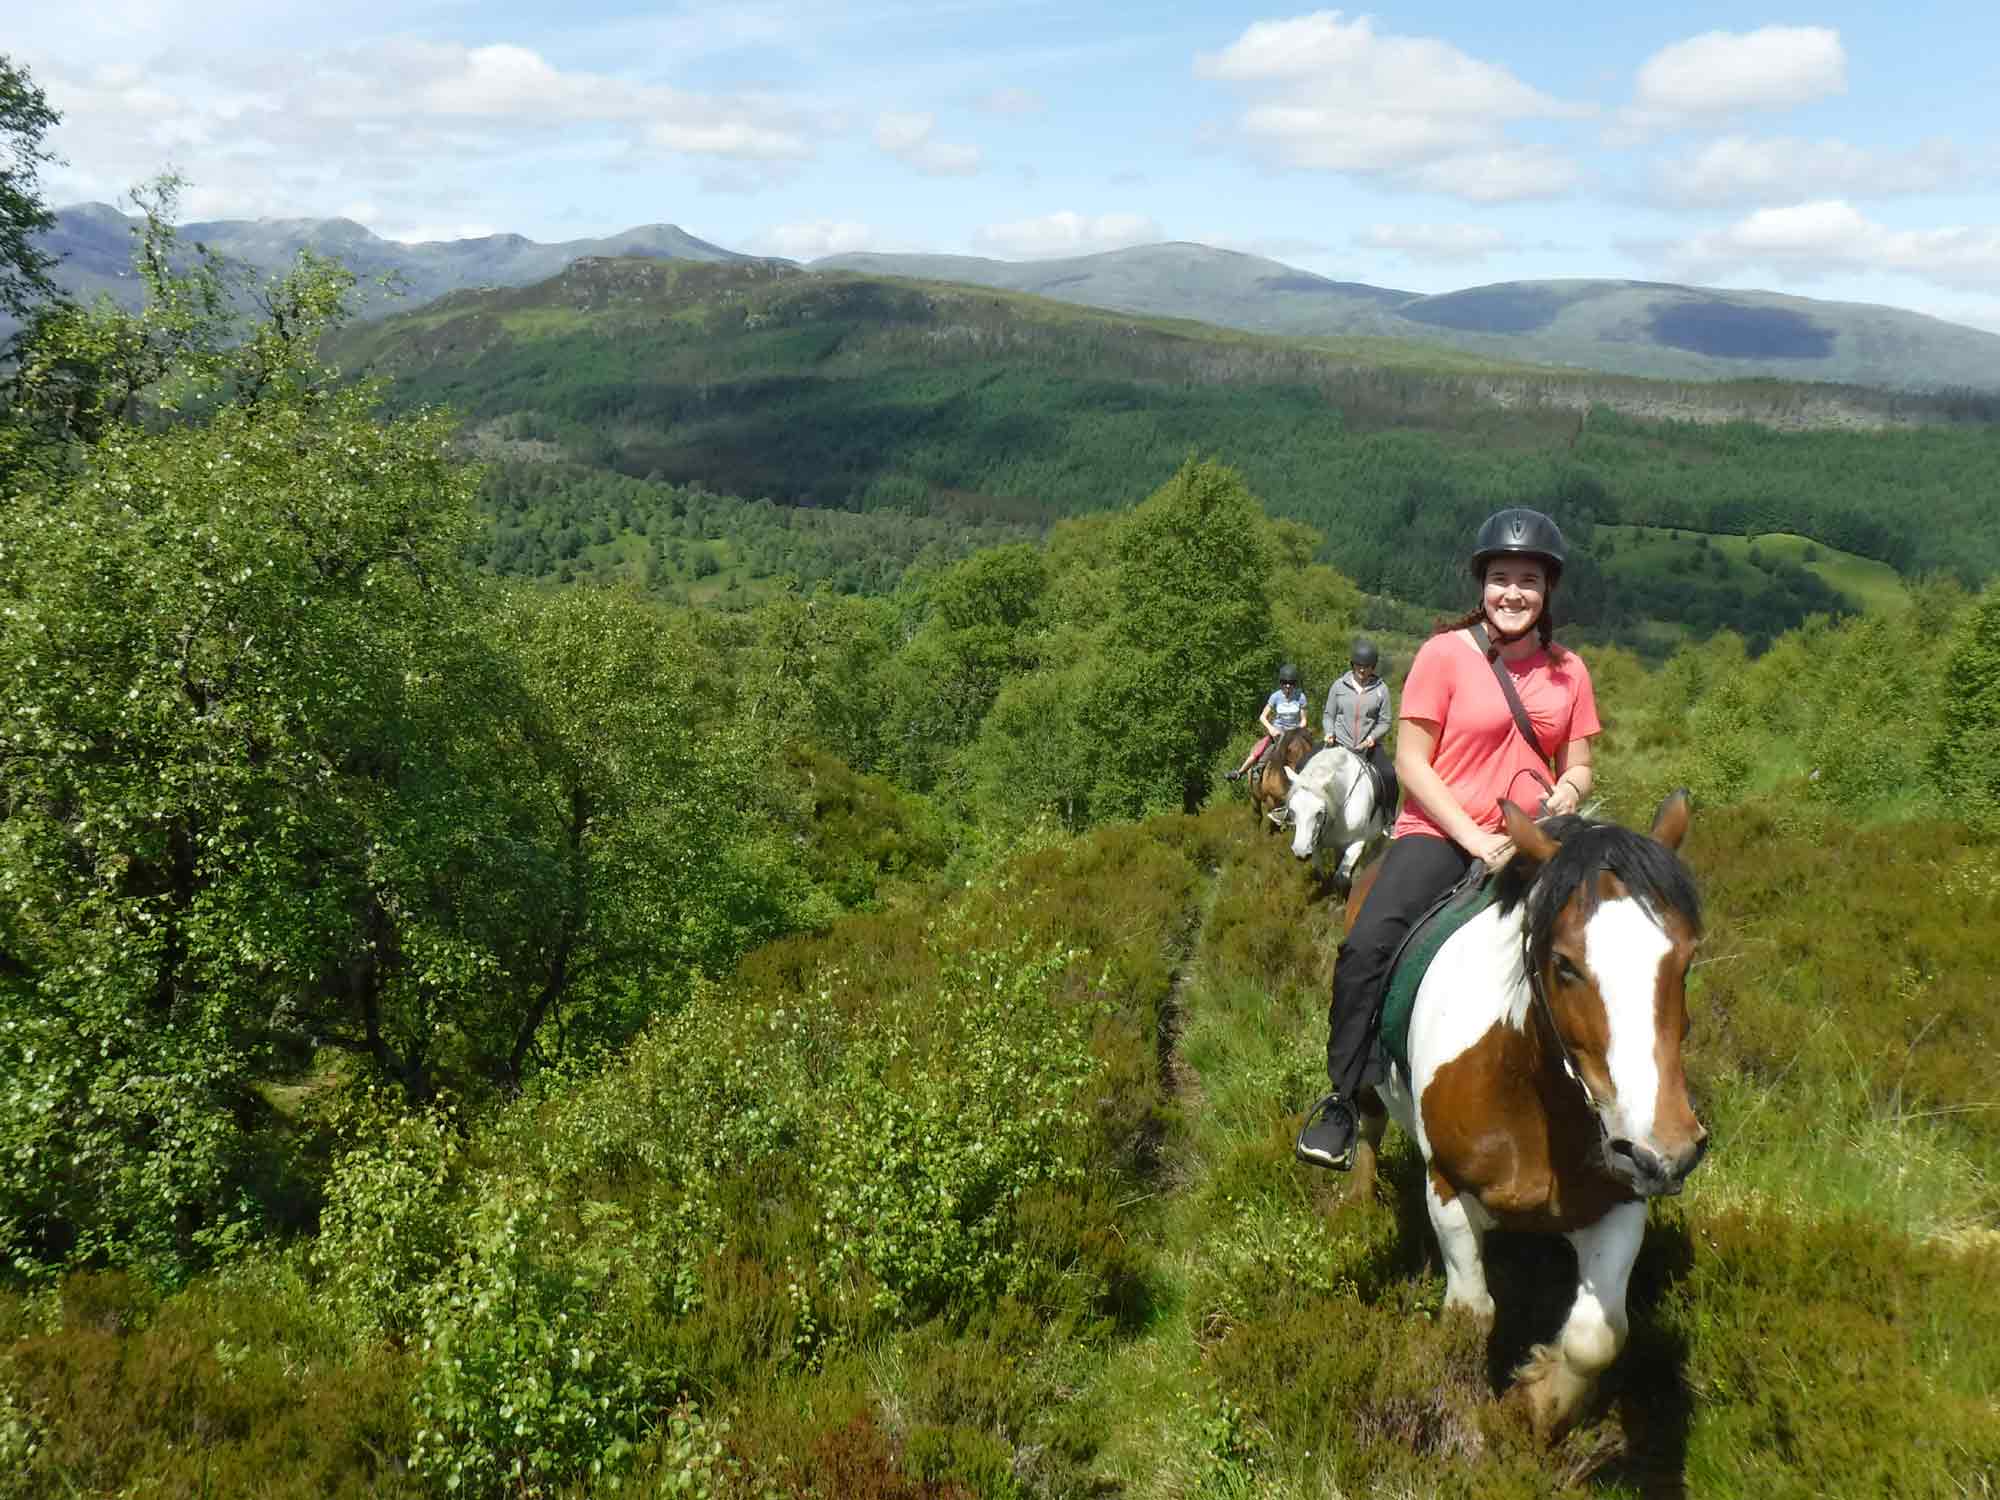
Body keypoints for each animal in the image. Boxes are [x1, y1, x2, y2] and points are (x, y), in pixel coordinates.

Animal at [1281, 745, 1389, 889]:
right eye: (1293, 811)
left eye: (1319, 812)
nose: (1301, 852)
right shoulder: (1316, 843)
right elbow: (1320, 872)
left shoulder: (1358, 842)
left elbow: (1341, 879)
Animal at [1349, 792, 1706, 1442]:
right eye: (1564, 963)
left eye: (1686, 959)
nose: (1664, 1152)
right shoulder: (1447, 1190)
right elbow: (1470, 1316)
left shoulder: (1621, 1203)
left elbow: (1596, 1338)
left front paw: (1535, 1404)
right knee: (1365, 1120)